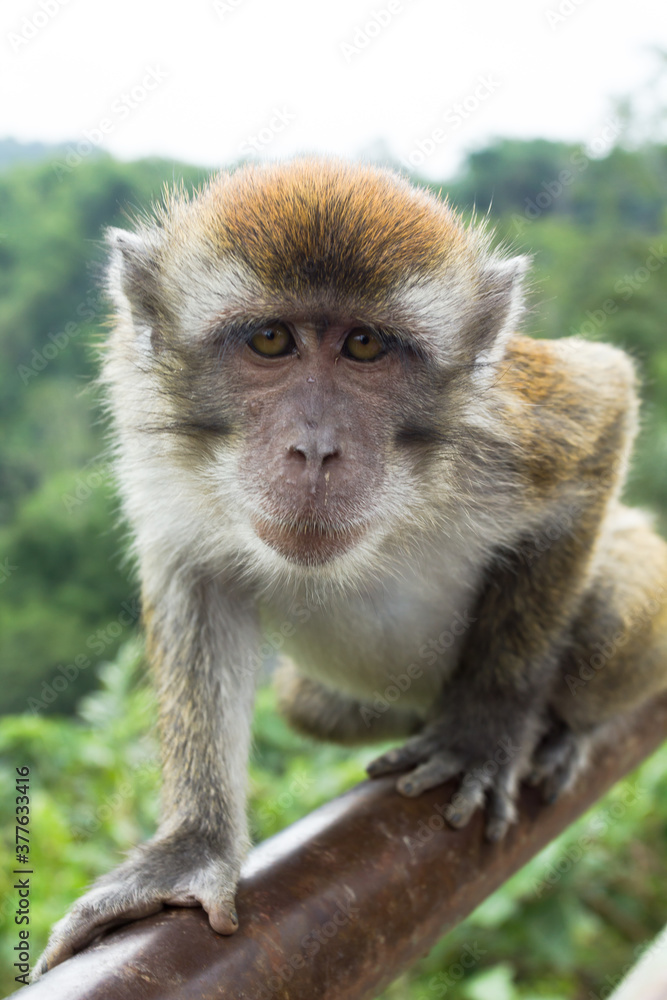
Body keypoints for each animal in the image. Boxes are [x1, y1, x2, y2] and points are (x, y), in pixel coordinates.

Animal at [35, 158, 667, 976]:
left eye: (364, 345)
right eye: (271, 339)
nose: (315, 447)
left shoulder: (503, 430)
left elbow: (605, 401)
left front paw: (484, 730)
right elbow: (198, 583)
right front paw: (192, 849)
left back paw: (558, 730)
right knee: (307, 704)